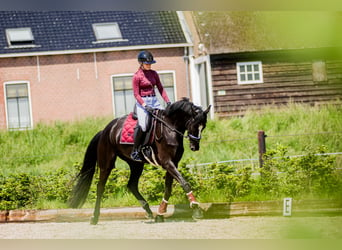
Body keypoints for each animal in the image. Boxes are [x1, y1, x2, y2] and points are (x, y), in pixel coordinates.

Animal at [68, 97, 210, 225]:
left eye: (203, 127)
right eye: (194, 125)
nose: (195, 147)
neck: (169, 128)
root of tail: (106, 130)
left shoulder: (173, 163)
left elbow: (168, 188)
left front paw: (160, 213)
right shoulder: (167, 162)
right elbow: (184, 183)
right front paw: (196, 208)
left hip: (136, 165)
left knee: (131, 185)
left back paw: (148, 211)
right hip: (106, 163)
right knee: (100, 187)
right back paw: (95, 218)